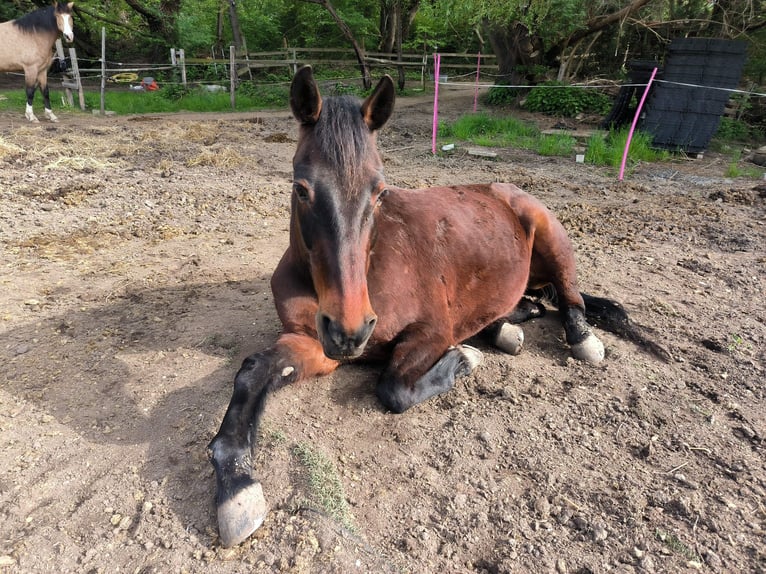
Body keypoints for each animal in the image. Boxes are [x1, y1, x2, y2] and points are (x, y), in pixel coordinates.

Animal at [207, 65, 664, 548]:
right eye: (301, 188)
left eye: (380, 191)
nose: (351, 330)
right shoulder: (312, 344)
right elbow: (252, 372)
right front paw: (237, 489)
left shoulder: (430, 331)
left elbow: (393, 388)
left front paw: (463, 360)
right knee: (535, 302)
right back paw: (509, 325)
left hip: (551, 235)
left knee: (571, 297)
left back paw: (579, 338)